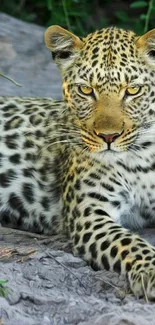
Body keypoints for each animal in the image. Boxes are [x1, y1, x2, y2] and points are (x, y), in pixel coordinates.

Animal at [0, 24, 155, 300]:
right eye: (85, 90)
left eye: (133, 90)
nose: (108, 137)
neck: (142, 154)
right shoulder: (89, 214)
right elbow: (130, 242)